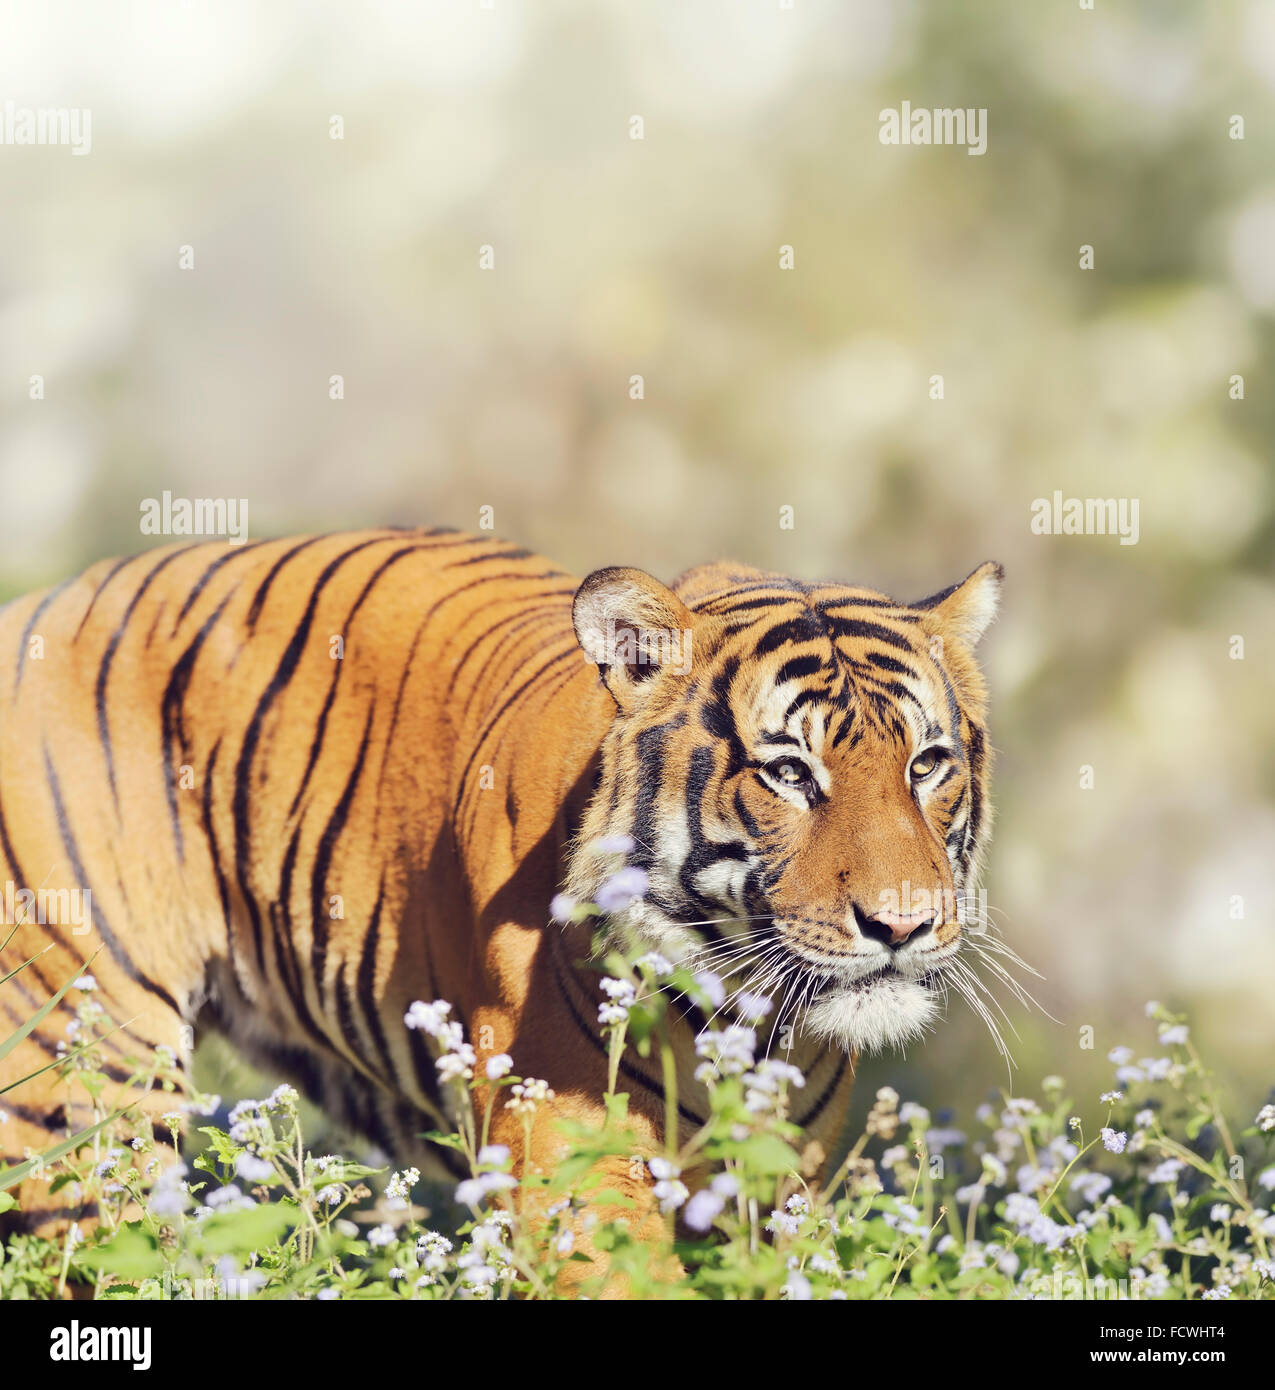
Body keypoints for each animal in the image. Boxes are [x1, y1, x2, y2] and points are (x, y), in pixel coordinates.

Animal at [0, 525, 1001, 1267]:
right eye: (789, 773)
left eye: (926, 764)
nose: (903, 923)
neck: (745, 1024)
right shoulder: (566, 1151)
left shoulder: (778, 1179)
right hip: (83, 1085)